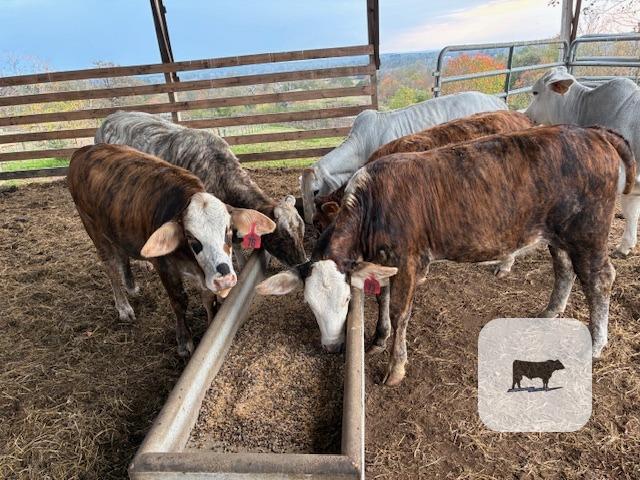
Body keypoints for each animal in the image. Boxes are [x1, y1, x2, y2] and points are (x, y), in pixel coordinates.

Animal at [68, 144, 275, 357]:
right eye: (190, 237)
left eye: (228, 230)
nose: (224, 280)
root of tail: (83, 150)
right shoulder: (165, 268)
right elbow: (179, 301)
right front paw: (184, 342)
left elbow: (208, 299)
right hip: (94, 229)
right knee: (110, 267)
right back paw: (124, 307)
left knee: (122, 255)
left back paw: (131, 285)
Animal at [256, 125, 635, 386]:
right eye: (309, 304)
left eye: (348, 300)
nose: (333, 346)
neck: (374, 202)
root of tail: (593, 132)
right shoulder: (386, 259)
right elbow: (383, 298)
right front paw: (378, 338)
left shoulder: (409, 259)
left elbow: (400, 310)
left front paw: (395, 368)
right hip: (558, 234)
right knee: (564, 268)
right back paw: (550, 312)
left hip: (588, 233)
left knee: (599, 278)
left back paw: (596, 344)